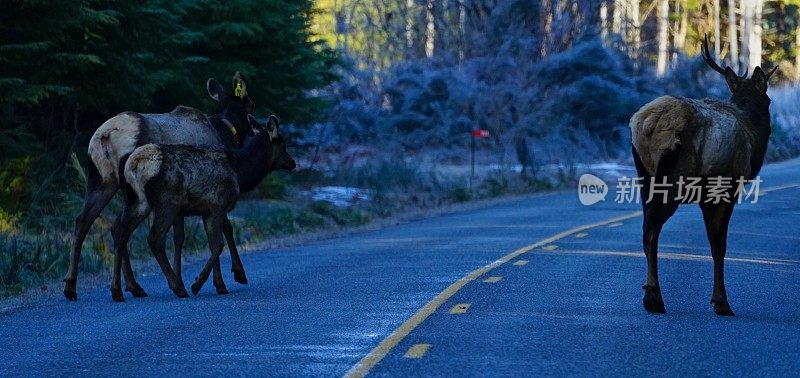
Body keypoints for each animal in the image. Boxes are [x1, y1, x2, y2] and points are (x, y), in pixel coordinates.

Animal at [67, 71, 258, 302]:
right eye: (250, 104)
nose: (258, 127)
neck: (223, 133)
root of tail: (106, 135)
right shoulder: (209, 193)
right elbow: (223, 229)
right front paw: (236, 274)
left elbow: (179, 238)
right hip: (131, 190)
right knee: (120, 227)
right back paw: (129, 286)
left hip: (101, 181)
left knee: (85, 221)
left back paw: (74, 286)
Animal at [112, 115, 296, 302]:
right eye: (283, 145)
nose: (293, 163)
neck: (241, 173)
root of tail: (133, 164)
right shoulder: (218, 205)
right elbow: (219, 244)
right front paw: (198, 283)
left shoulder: (207, 210)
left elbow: (213, 244)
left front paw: (220, 284)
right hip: (167, 202)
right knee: (154, 238)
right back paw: (177, 287)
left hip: (137, 201)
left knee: (120, 232)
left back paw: (119, 290)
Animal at [632, 34, 776, 316]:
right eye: (768, 100)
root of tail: (645, 125)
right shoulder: (725, 188)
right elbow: (718, 244)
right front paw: (721, 301)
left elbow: (712, 242)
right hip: (674, 179)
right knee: (651, 228)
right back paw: (654, 298)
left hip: (645, 176)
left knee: (646, 229)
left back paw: (650, 295)